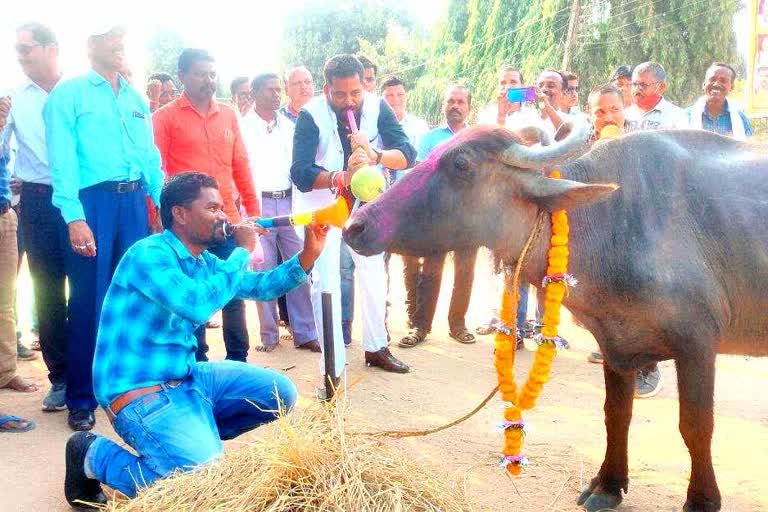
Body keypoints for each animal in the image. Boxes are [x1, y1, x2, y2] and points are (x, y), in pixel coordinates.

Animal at [344, 123, 768, 512]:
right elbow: (616, 415)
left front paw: (701, 500)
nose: (354, 226)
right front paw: (608, 486)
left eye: (461, 163)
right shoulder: (616, 345)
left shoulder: (697, 345)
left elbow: (696, 426)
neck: (616, 223)